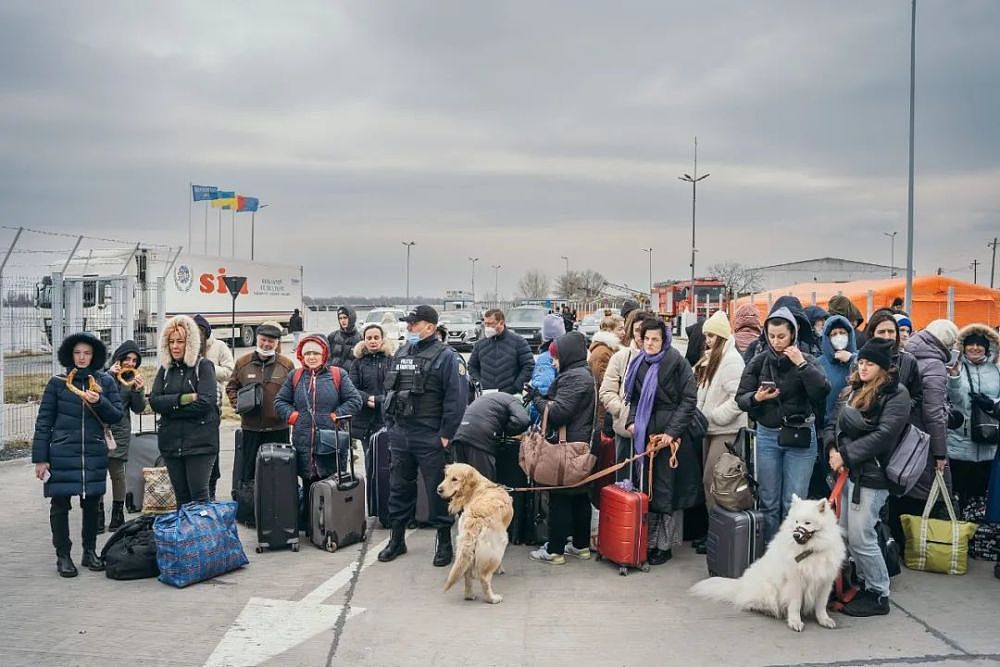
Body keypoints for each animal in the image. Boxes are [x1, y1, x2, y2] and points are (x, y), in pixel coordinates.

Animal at [692, 496, 848, 632]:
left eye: (807, 523)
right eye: (796, 522)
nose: (796, 535)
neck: (810, 551)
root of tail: (741, 584)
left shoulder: (825, 582)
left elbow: (821, 604)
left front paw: (824, 620)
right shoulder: (795, 582)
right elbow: (795, 604)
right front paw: (795, 622)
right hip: (768, 589)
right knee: (750, 602)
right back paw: (768, 610)